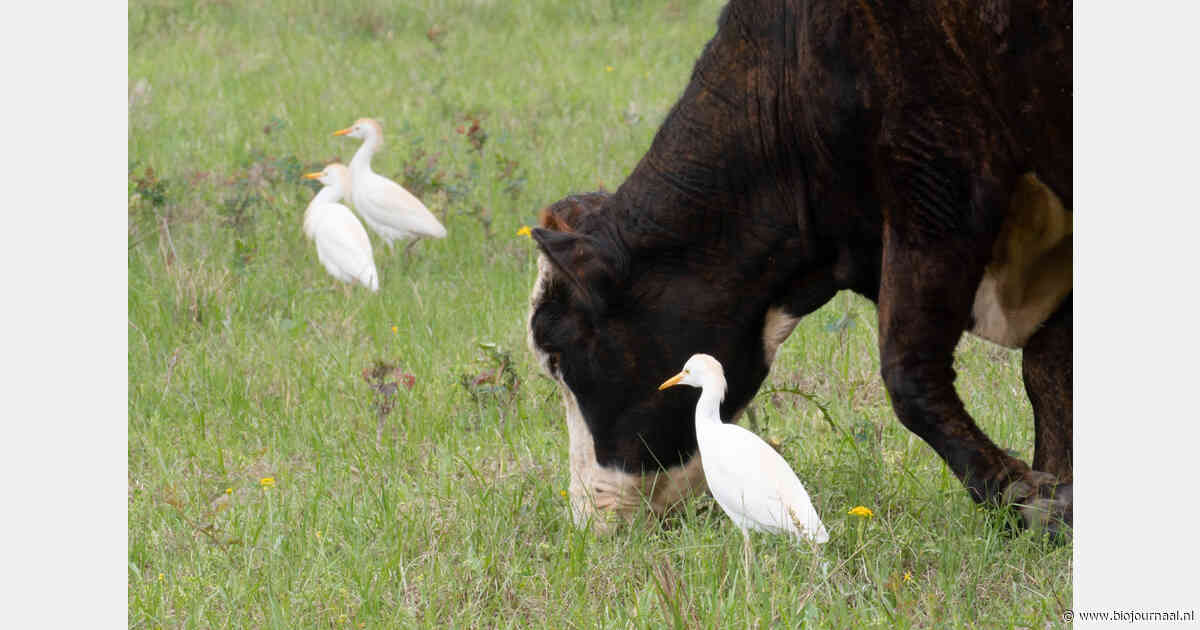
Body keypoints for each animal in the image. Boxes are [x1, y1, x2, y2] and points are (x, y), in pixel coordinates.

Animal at [526, 0, 1072, 535]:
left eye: (557, 355)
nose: (587, 516)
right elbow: (1048, 369)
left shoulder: (936, 177)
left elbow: (909, 373)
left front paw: (1025, 499)